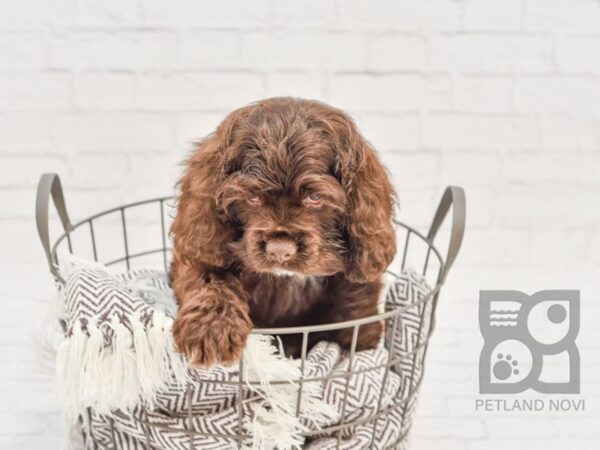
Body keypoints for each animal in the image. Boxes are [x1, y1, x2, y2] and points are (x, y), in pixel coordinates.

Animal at [170, 96, 394, 366]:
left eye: (315, 198)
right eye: (253, 197)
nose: (280, 251)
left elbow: (355, 327)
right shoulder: (199, 251)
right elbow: (207, 278)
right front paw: (210, 329)